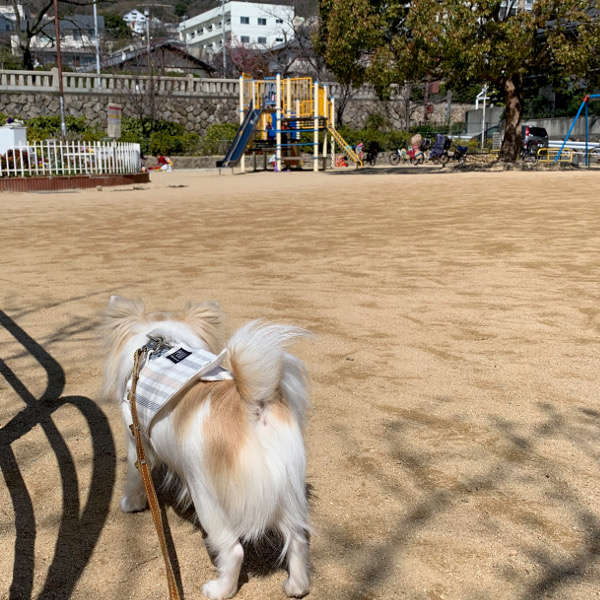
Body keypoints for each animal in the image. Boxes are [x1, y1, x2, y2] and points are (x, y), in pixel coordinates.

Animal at [99, 296, 310, 600]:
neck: (161, 346)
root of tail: (253, 405)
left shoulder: (136, 439)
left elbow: (136, 476)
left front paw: (131, 503)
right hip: (287, 491)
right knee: (297, 538)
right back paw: (296, 586)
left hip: (208, 500)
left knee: (233, 550)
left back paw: (219, 590)